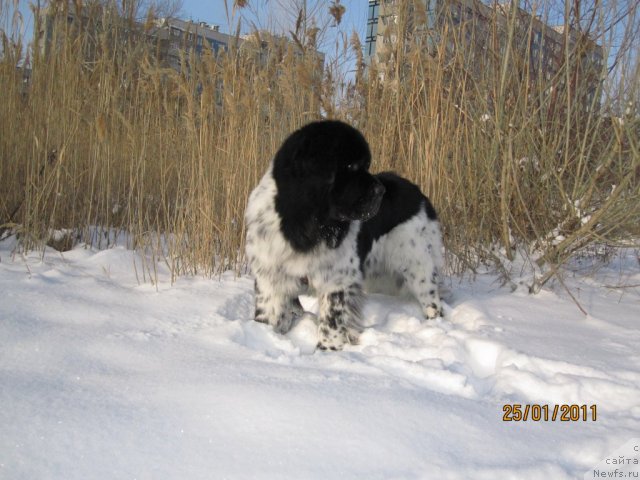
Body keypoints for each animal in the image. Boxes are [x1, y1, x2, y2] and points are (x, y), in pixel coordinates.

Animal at [242, 122, 442, 350]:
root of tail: (419, 193)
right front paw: (265, 337)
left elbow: (332, 320)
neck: (304, 222)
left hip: (418, 263)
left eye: (365, 165)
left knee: (432, 299)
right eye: (350, 167)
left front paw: (327, 350)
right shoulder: (269, 275)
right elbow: (269, 313)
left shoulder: (337, 279)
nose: (380, 190)